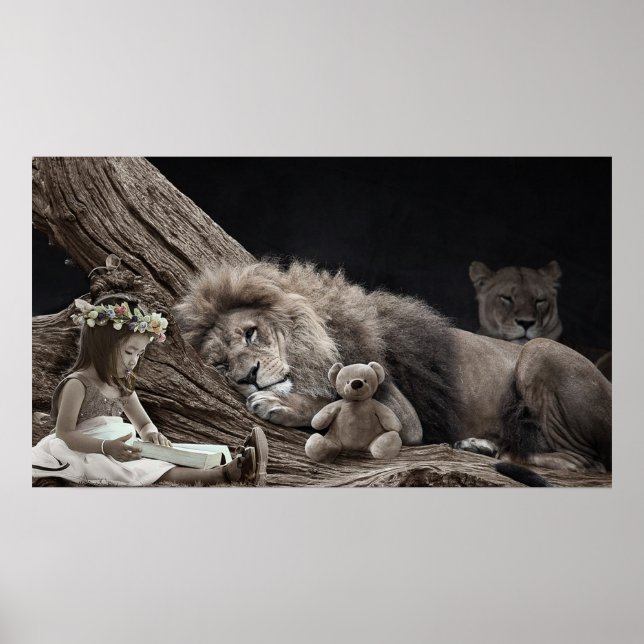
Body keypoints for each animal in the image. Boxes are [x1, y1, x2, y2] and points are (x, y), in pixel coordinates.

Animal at [174, 260, 611, 473]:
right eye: (220, 363)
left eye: (251, 333)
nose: (248, 376)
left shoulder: (406, 417)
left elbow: (335, 402)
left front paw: (279, 404)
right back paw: (480, 445)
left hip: (539, 349)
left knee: (584, 461)